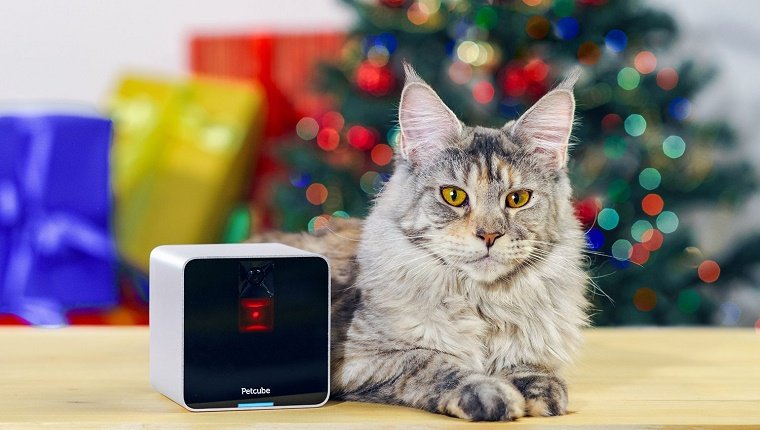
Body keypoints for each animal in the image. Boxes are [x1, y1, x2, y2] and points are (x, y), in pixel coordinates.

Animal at [252, 63, 592, 420]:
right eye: (453, 196)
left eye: (518, 199)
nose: (489, 234)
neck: (482, 304)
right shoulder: (360, 358)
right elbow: (434, 362)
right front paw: (491, 393)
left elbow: (529, 365)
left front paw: (540, 389)